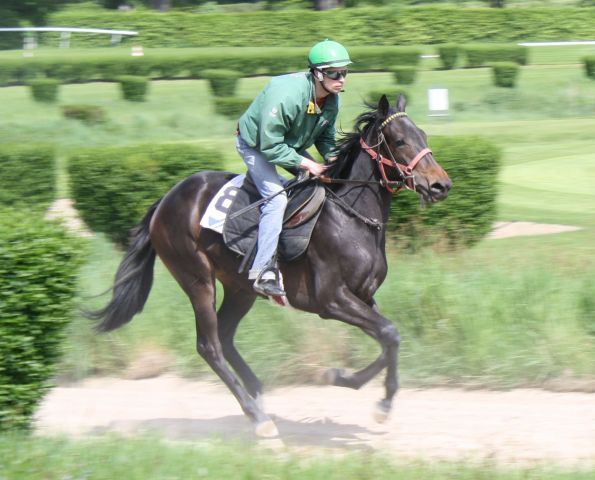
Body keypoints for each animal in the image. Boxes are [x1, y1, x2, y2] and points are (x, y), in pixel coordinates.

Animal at [89, 94, 452, 438]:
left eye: (423, 134)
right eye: (400, 140)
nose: (441, 185)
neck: (351, 216)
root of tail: (165, 200)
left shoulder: (362, 296)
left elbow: (389, 339)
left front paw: (346, 379)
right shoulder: (332, 299)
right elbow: (389, 333)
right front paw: (380, 402)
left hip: (240, 287)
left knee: (225, 335)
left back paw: (258, 395)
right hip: (196, 278)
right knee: (210, 346)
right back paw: (258, 417)